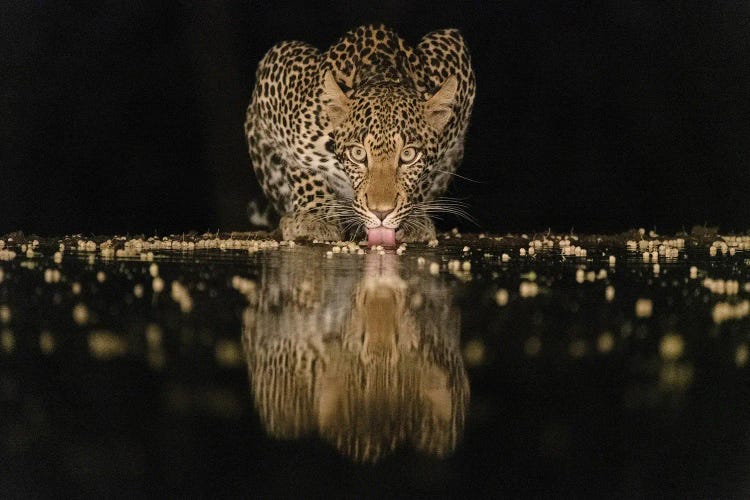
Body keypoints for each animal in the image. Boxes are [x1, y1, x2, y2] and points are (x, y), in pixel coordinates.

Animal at [250, 24, 478, 244]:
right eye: (358, 154)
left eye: (408, 155)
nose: (381, 213)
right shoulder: (277, 64)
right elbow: (302, 168)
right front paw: (315, 217)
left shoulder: (455, 50)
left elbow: (426, 177)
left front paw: (414, 220)